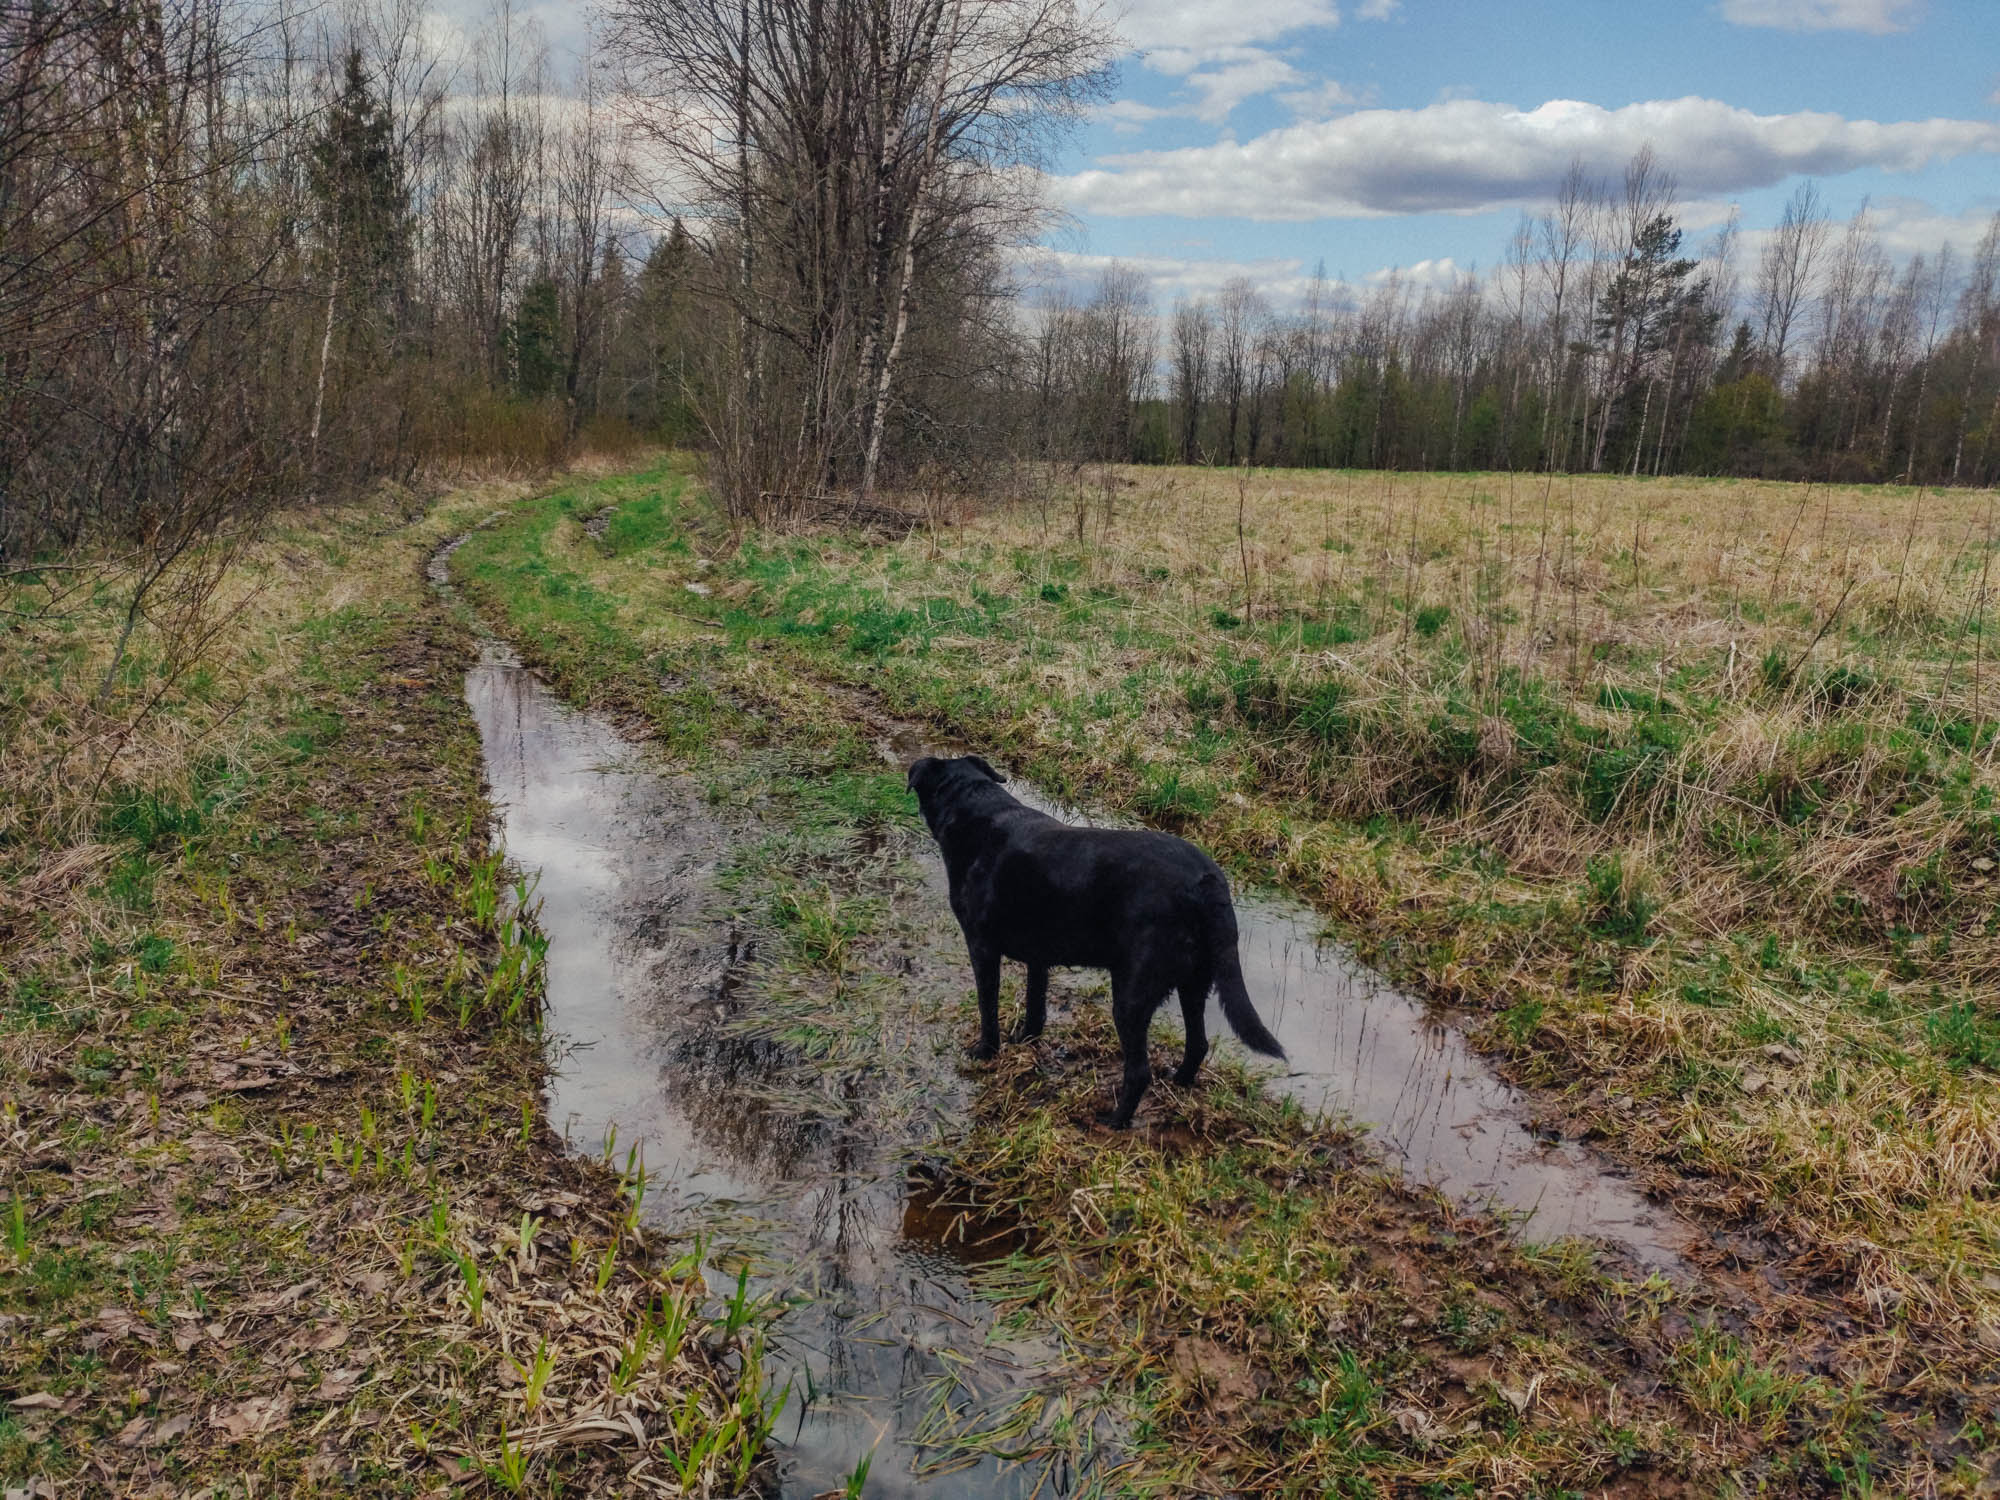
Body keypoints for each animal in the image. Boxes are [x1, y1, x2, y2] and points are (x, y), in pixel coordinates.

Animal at [904, 756, 1280, 1136]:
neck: (975, 806)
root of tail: (1207, 881)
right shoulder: (1038, 958)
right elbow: (1035, 1007)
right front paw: (1025, 1042)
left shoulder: (982, 948)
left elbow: (987, 1007)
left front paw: (985, 1051)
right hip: (1194, 982)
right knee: (1198, 1044)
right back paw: (1179, 1084)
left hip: (1132, 994)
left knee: (1139, 1071)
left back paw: (1114, 1121)